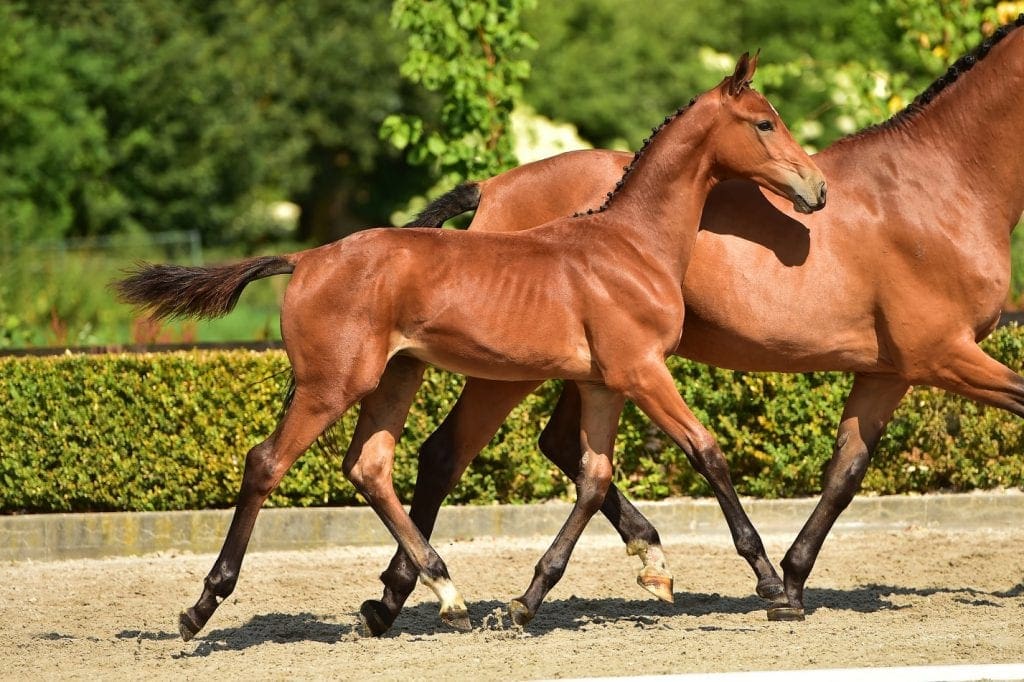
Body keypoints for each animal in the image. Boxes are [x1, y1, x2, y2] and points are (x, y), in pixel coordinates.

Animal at [116, 53, 826, 640]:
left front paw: (531, 599)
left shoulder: (602, 382)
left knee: (370, 467)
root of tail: (306, 257)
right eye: (765, 123)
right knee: (267, 463)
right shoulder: (642, 371)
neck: (631, 245)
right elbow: (706, 452)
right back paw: (202, 607)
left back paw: (443, 592)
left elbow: (594, 478)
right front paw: (772, 585)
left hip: (395, 379)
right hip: (332, 385)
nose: (816, 189)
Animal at [362, 14, 1024, 631]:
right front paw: (776, 584)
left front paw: (791, 585)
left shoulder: (889, 371)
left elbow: (844, 473)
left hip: (589, 369)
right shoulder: (942, 355)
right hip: (514, 370)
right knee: (444, 454)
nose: (816, 193)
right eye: (764, 123)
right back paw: (404, 596)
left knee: (557, 449)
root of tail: (493, 187)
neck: (937, 183)